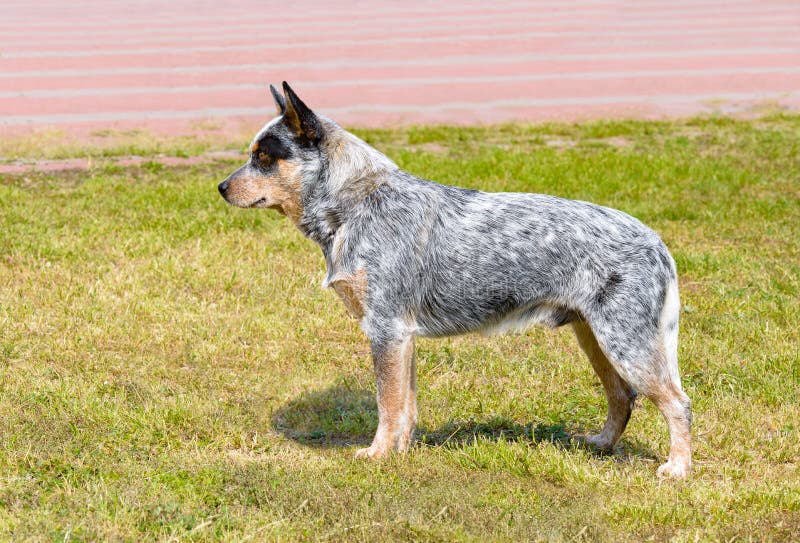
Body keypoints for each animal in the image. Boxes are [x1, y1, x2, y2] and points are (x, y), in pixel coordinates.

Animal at [219, 83, 692, 478]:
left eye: (264, 157)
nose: (221, 187)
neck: (356, 203)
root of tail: (657, 242)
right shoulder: (401, 335)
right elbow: (405, 405)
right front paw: (400, 453)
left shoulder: (385, 329)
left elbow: (387, 404)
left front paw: (376, 455)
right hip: (595, 338)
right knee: (622, 397)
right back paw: (601, 444)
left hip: (625, 343)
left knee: (677, 403)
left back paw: (677, 469)